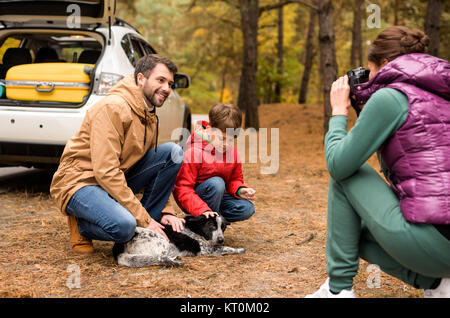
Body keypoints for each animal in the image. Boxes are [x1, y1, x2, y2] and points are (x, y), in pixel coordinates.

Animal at [112, 212, 246, 268]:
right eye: (212, 226)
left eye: (223, 227)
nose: (221, 239)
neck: (196, 229)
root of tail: (119, 248)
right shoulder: (206, 250)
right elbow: (226, 248)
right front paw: (239, 249)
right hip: (163, 241)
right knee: (160, 258)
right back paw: (176, 263)